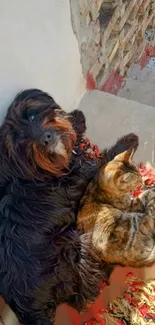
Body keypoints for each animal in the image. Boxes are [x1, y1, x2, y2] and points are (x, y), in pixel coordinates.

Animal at [0, 87, 139, 322]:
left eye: (32, 116)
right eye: (21, 141)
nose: (45, 138)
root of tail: (27, 308)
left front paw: (76, 118)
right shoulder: (86, 180)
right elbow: (104, 165)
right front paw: (126, 143)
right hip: (73, 247)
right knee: (88, 289)